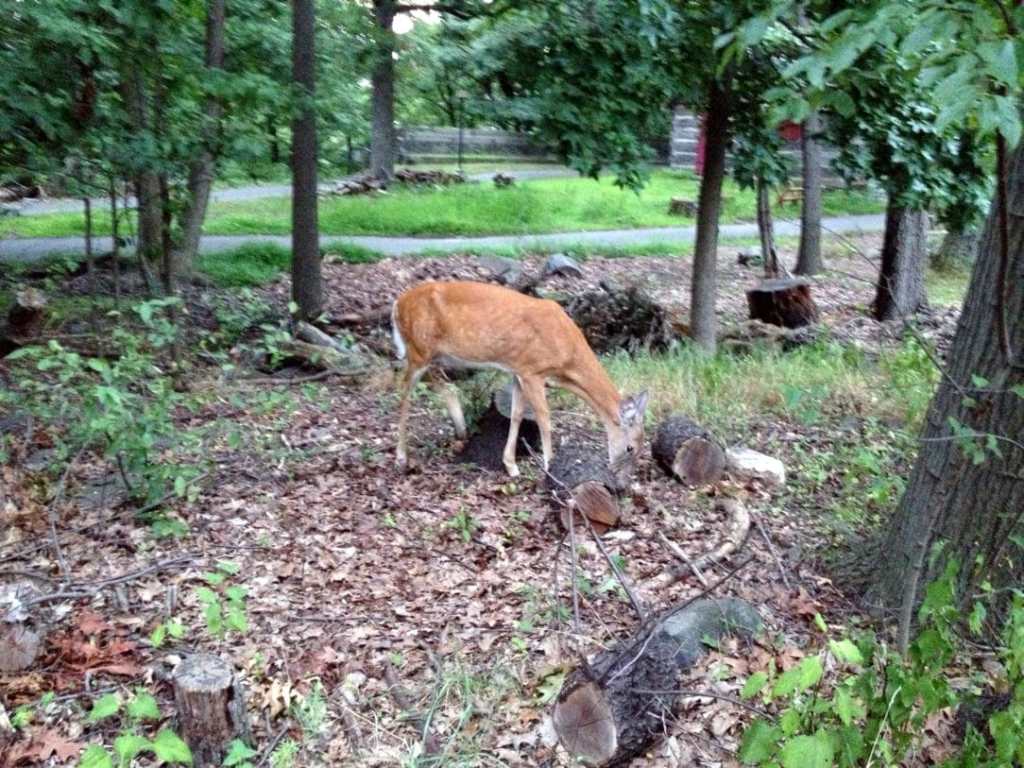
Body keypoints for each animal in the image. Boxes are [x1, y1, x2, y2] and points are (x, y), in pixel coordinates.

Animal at [391, 281, 649, 484]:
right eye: (630, 447)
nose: (622, 483)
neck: (566, 358)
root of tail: (396, 305)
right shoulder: (532, 370)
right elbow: (545, 418)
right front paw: (549, 466)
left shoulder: (518, 370)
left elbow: (516, 414)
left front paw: (511, 466)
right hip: (418, 349)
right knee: (404, 393)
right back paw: (401, 456)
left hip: (433, 355)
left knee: (439, 383)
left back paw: (460, 427)